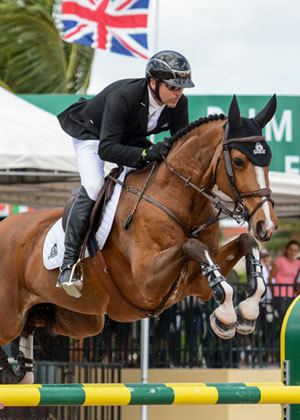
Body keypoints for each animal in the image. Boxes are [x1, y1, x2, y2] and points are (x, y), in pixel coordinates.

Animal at [0, 95, 278, 384]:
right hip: (9, 317)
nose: (267, 225)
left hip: (82, 318)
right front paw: (225, 316)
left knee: (33, 325)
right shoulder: (145, 281)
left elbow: (245, 243)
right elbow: (192, 245)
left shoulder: (196, 283)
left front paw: (245, 312)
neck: (177, 199)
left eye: (268, 160)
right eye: (239, 161)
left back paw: (19, 368)